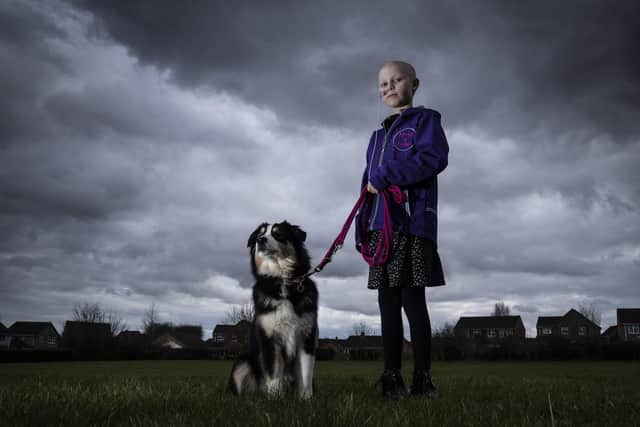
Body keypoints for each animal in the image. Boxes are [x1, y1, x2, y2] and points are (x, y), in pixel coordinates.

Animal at [230, 222, 320, 400]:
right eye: (260, 234)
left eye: (278, 234)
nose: (260, 240)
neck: (283, 281)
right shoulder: (270, 339)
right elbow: (273, 373)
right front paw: (274, 399)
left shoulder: (307, 337)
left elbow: (306, 374)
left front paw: (306, 399)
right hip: (242, 362)